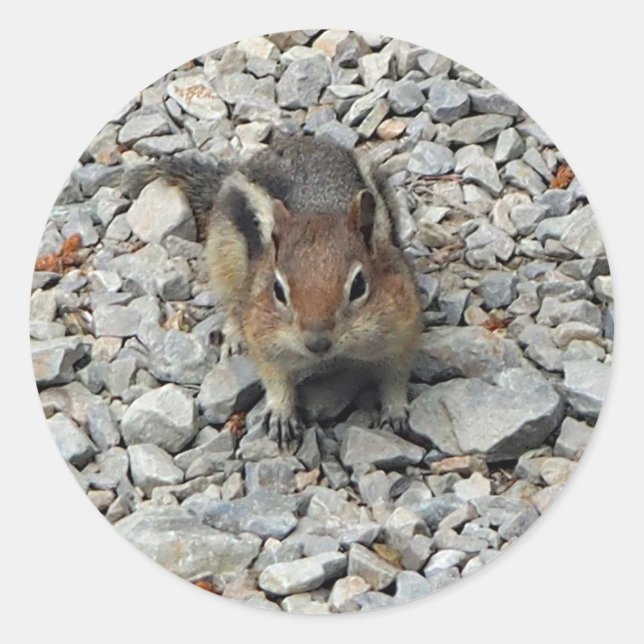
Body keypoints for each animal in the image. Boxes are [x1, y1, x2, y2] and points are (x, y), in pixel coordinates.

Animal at [124, 136, 422, 445]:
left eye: (359, 285)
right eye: (278, 290)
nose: (317, 343)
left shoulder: (403, 327)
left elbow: (396, 375)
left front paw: (395, 410)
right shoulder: (264, 334)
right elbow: (273, 375)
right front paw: (281, 414)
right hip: (223, 260)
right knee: (231, 304)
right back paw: (233, 338)